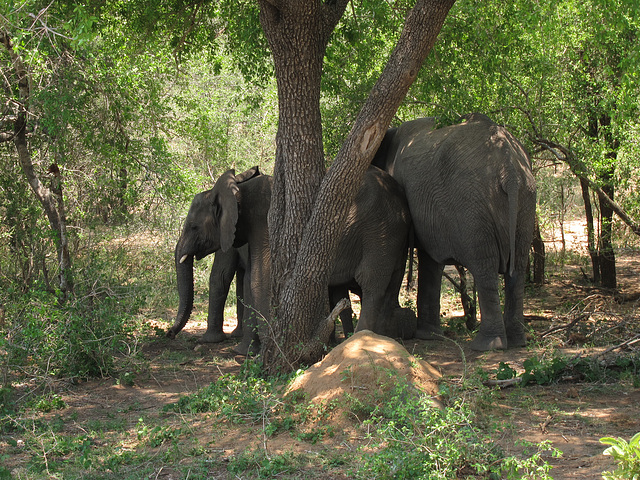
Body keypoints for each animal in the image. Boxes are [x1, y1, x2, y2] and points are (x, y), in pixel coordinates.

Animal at [172, 167, 418, 354]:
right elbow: (251, 280)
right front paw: (245, 353)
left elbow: (259, 279)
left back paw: (358, 342)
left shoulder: (265, 223)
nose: (169, 333)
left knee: (371, 283)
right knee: (390, 285)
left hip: (381, 230)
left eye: (193, 227)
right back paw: (384, 339)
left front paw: (269, 349)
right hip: (394, 234)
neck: (238, 190)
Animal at [372, 114, 536, 350]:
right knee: (518, 268)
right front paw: (430, 336)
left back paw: (486, 346)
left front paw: (426, 335)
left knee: (484, 266)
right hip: (526, 201)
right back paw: (517, 342)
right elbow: (431, 262)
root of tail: (510, 171)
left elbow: (428, 260)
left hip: (472, 206)